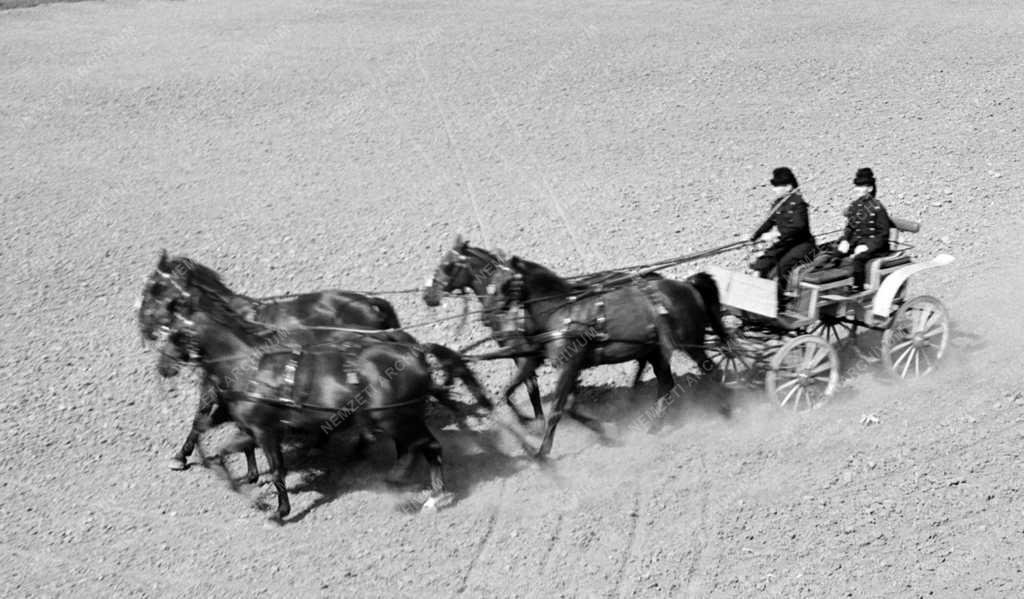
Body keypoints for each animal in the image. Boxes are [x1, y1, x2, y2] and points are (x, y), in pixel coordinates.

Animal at [154, 294, 456, 518]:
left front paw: (279, 510)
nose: (163, 367)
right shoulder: (245, 422)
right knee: (414, 447)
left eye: (172, 332)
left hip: (398, 419)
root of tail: (415, 353)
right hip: (400, 419)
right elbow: (219, 446)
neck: (247, 364)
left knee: (429, 446)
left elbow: (275, 468)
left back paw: (431, 495)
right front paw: (251, 484)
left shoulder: (264, 430)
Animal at [421, 233, 647, 419]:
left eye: (447, 265)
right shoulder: (521, 355)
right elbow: (525, 390)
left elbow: (523, 391)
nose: (427, 295)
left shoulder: (527, 356)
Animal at [483, 255, 733, 458]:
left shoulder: (568, 365)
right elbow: (519, 393)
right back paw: (654, 426)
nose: (488, 316)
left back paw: (726, 409)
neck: (562, 311)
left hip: (690, 344)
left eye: (504, 283)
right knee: (666, 384)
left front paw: (542, 451)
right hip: (656, 352)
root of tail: (687, 285)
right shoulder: (558, 364)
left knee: (710, 369)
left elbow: (557, 409)